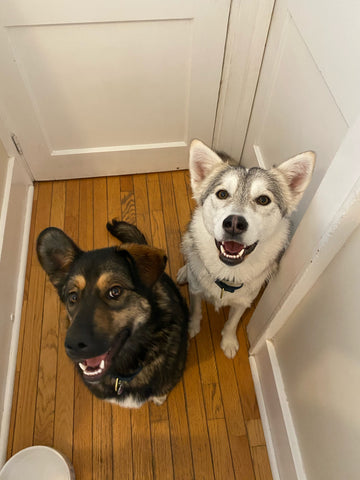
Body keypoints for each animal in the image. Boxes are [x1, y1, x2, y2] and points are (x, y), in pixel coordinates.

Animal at [36, 219, 188, 406]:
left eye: (115, 291)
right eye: (73, 297)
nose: (73, 347)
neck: (123, 375)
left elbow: (162, 389)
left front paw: (159, 398)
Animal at [178, 139, 316, 356]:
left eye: (263, 199)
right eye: (222, 194)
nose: (234, 223)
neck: (228, 275)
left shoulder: (244, 301)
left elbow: (232, 322)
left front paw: (228, 341)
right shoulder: (196, 290)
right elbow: (196, 310)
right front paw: (192, 327)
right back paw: (185, 270)